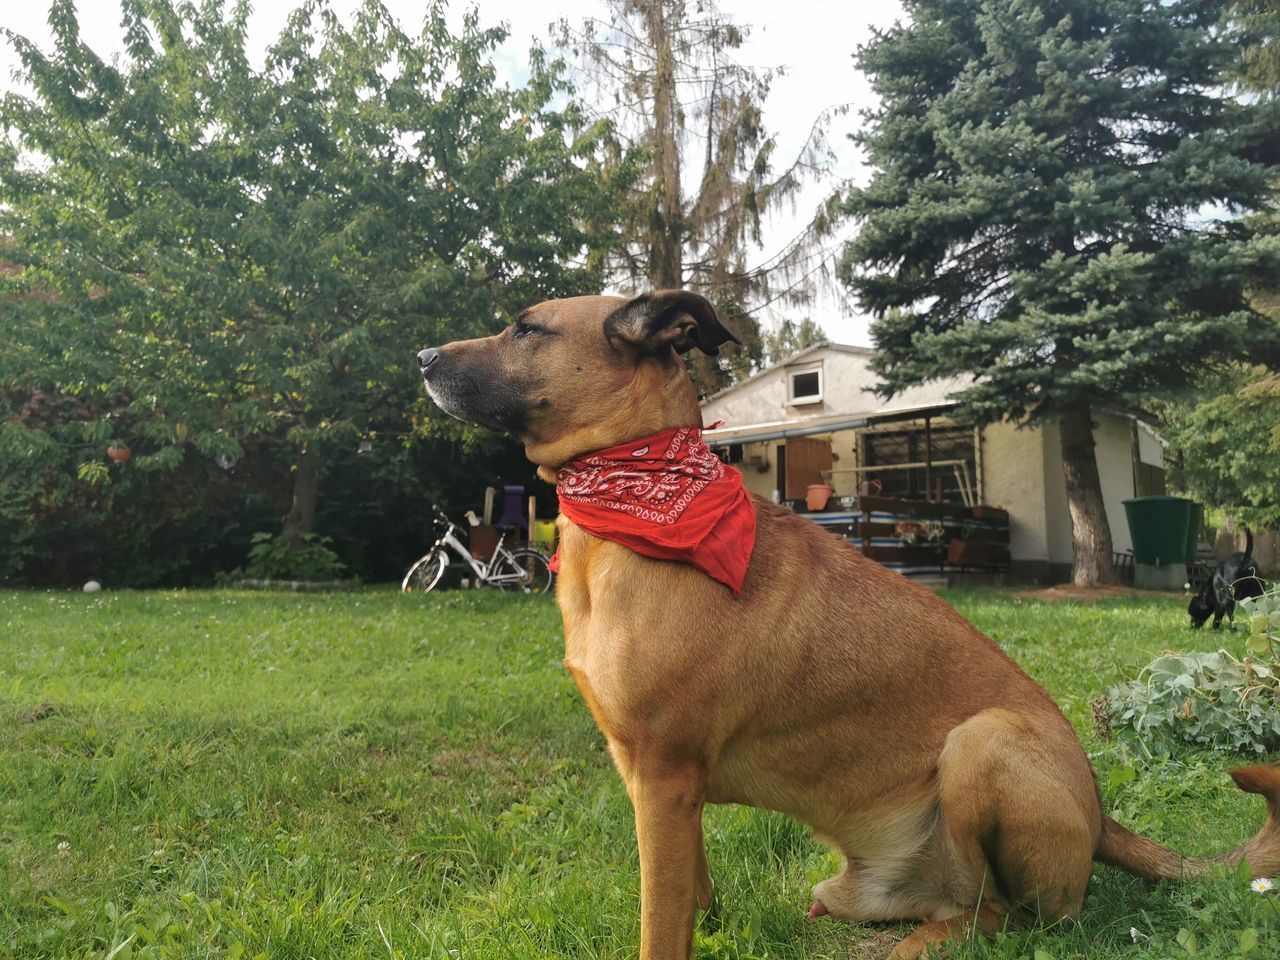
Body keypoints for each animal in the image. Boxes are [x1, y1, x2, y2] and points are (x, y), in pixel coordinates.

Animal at [419, 293, 1280, 960]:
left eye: (526, 329)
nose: (423, 356)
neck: (637, 494)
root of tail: (1102, 818)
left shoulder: (663, 777)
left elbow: (659, 923)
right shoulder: (652, 779)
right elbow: (693, 891)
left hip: (984, 743)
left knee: (1006, 916)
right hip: (862, 873)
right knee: (962, 905)